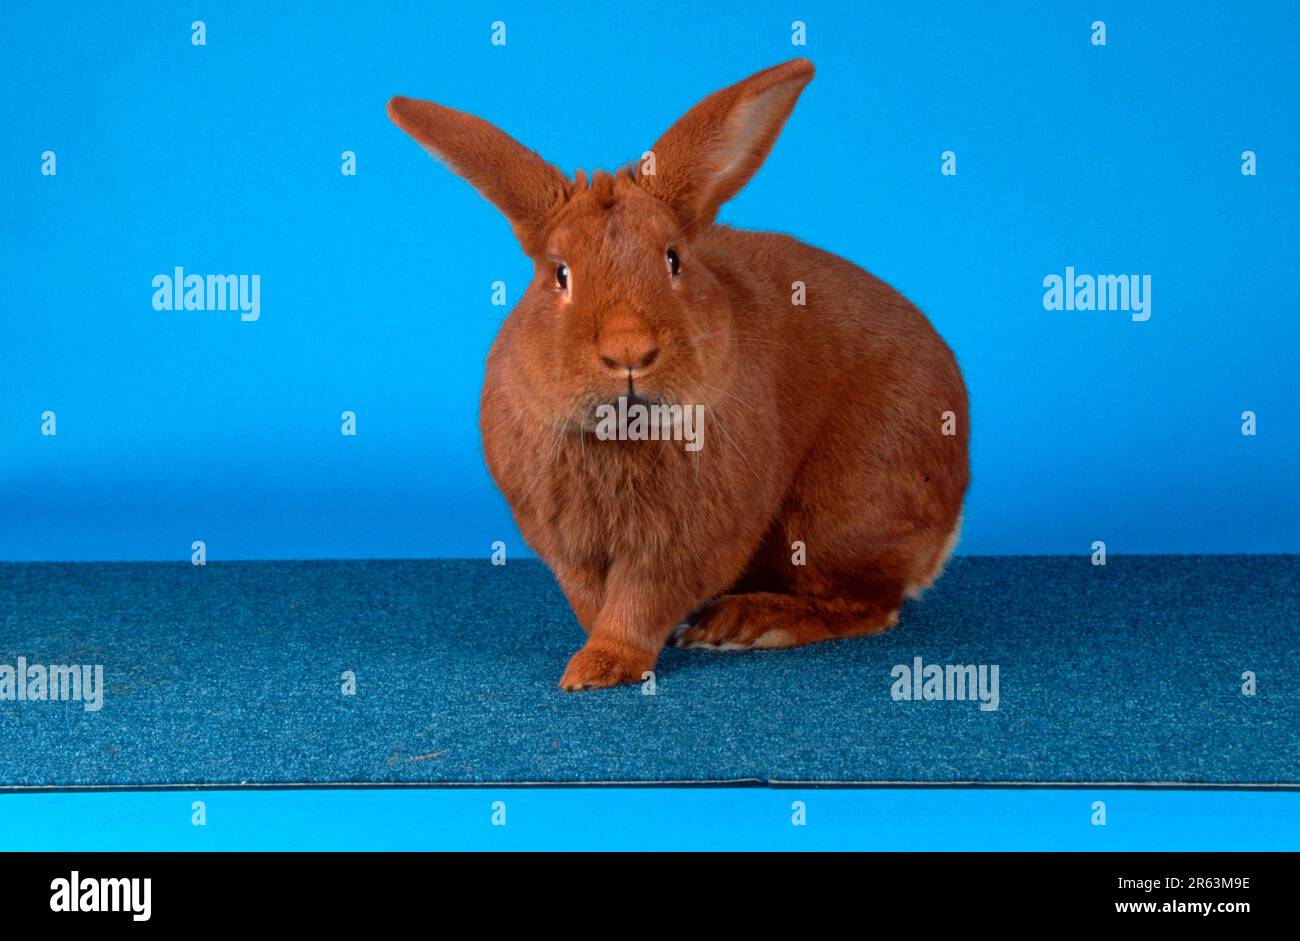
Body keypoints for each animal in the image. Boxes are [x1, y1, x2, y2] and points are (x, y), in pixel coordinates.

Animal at [388, 59, 969, 691]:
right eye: (559, 274)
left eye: (673, 259)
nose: (629, 351)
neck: (621, 436)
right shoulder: (565, 542)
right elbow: (592, 598)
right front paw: (597, 658)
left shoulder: (686, 541)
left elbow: (641, 600)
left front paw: (602, 666)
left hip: (842, 514)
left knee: (870, 605)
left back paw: (749, 623)